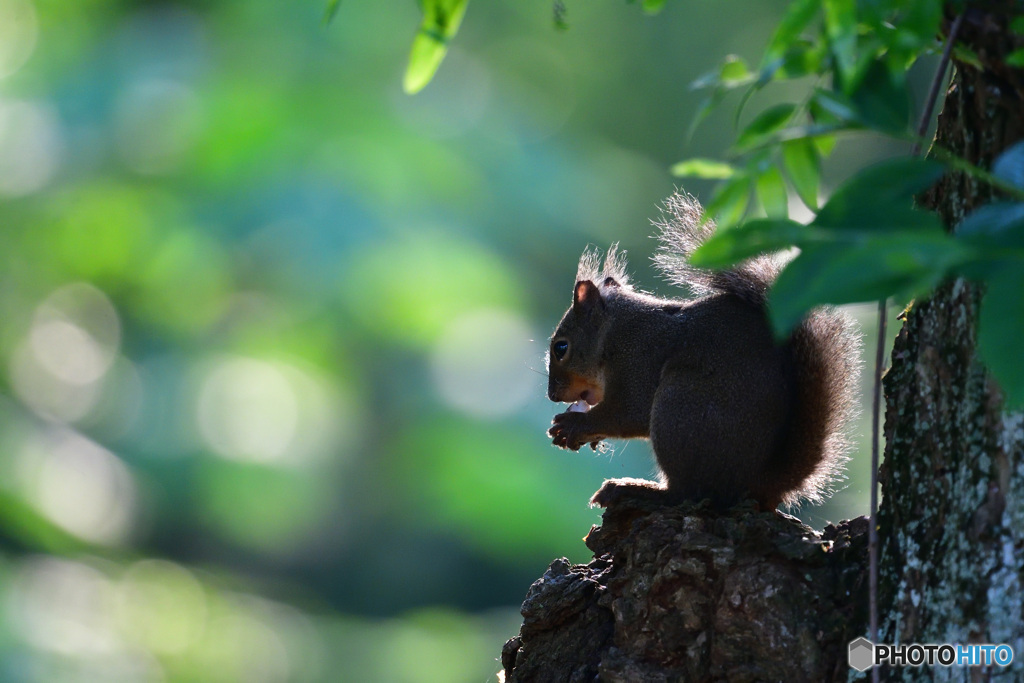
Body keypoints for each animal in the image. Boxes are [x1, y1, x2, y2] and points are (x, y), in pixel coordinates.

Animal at [548, 191, 860, 507]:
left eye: (561, 347)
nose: (552, 395)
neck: (615, 334)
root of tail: (759, 484)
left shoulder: (638, 361)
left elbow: (627, 412)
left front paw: (575, 424)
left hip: (680, 406)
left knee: (685, 492)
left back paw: (634, 488)